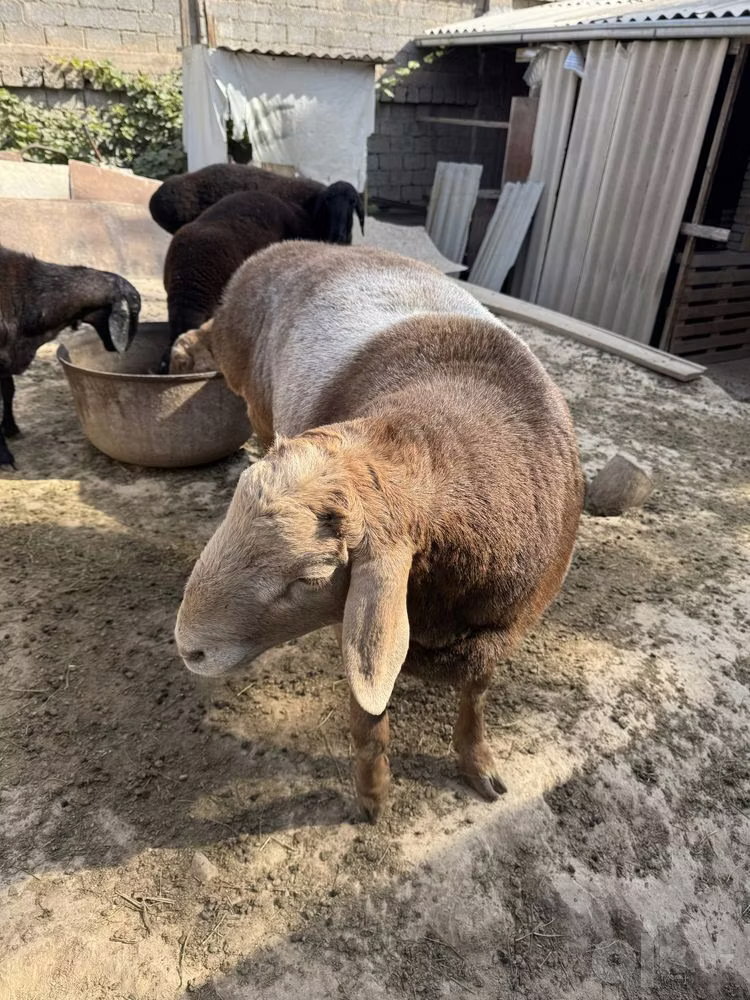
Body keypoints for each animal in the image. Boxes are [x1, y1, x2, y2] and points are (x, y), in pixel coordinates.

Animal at [0, 244, 140, 468]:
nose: (125, 349)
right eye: (134, 310)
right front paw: (4, 455)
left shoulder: (6, 358)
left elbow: (8, 390)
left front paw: (11, 428)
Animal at [173, 242, 583, 821]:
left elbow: (476, 699)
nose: (187, 647)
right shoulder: (361, 630)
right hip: (251, 389)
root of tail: (277, 250)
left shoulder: (500, 632)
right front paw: (373, 797)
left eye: (311, 577)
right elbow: (370, 721)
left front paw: (479, 764)